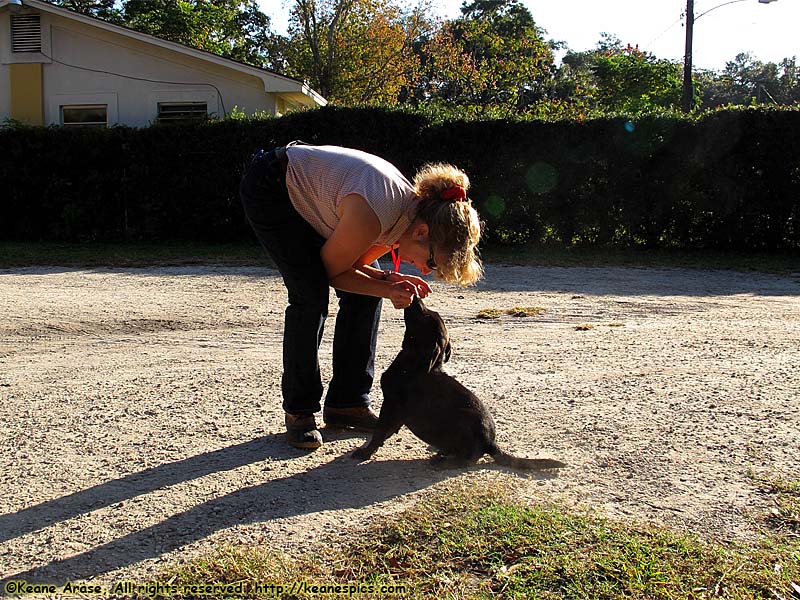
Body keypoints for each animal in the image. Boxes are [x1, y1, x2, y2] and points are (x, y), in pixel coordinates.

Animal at [354, 296, 564, 468]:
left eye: (425, 315)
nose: (416, 296)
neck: (414, 363)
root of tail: (490, 445)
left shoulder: (392, 405)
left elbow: (379, 432)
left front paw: (364, 452)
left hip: (464, 421)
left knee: (468, 459)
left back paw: (444, 462)